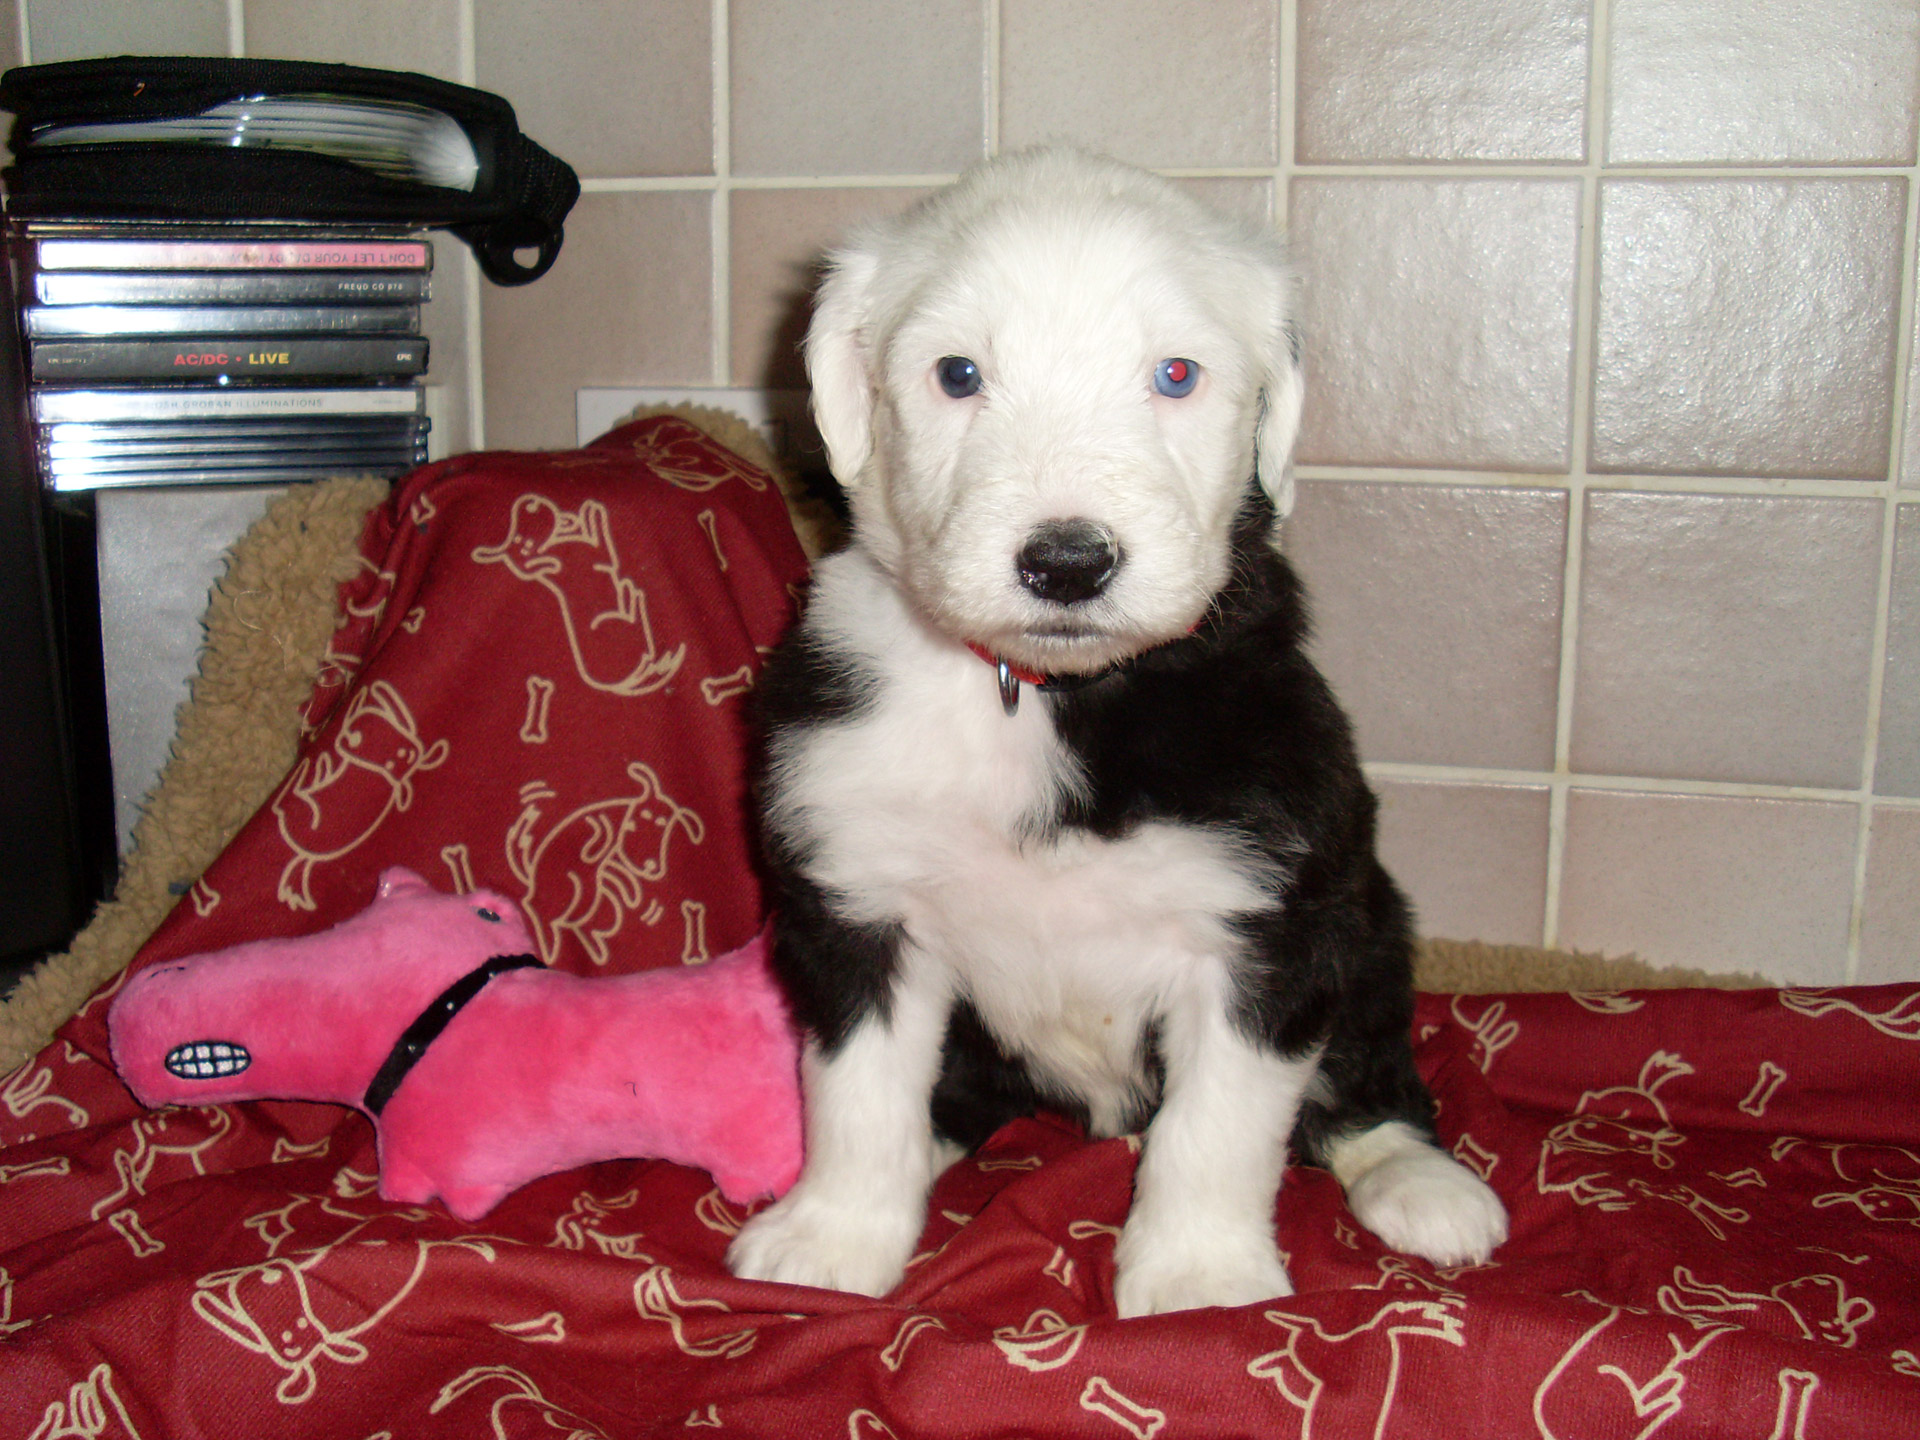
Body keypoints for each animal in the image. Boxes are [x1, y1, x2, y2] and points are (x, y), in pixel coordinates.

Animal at [725, 146, 1505, 1320]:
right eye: (958, 373)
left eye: (1176, 375)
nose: (1067, 561)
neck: (1045, 696)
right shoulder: (857, 901)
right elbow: (857, 1093)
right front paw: (831, 1238)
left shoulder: (1264, 923)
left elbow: (1216, 1127)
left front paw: (1196, 1277)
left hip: (1370, 924)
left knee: (1367, 1083)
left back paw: (1423, 1184)